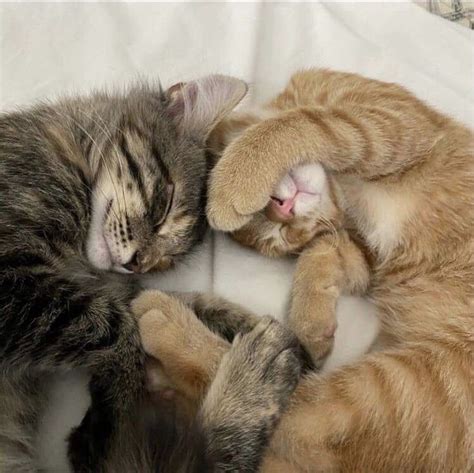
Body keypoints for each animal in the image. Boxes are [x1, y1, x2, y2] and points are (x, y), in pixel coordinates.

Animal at [0, 75, 302, 470]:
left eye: (165, 261)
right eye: (162, 207)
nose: (135, 263)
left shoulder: (99, 286)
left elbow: (164, 301)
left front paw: (236, 321)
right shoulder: (14, 279)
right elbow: (116, 325)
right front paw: (110, 414)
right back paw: (258, 376)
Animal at [135, 68, 472, 470]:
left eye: (276, 227)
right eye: (280, 236)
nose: (284, 211)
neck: (342, 191)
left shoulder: (394, 121)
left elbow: (309, 123)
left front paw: (235, 180)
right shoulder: (364, 257)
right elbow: (323, 250)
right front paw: (312, 321)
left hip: (401, 387)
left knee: (295, 410)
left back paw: (169, 326)